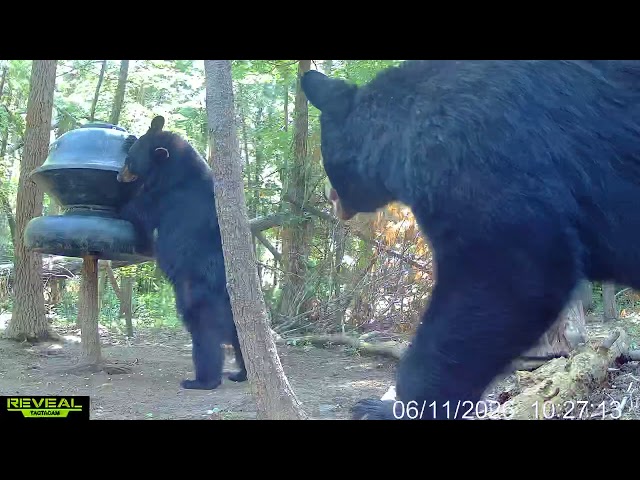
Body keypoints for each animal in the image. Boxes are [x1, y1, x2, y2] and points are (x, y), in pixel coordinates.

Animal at [116, 115, 247, 390]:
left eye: (130, 162)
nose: (120, 176)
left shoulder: (165, 199)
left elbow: (136, 213)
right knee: (241, 338)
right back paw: (241, 373)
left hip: (197, 295)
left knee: (205, 337)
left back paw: (201, 381)